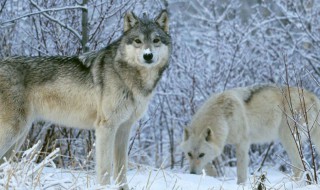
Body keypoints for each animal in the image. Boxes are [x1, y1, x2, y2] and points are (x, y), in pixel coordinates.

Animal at [0, 10, 171, 190]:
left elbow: (121, 169)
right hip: (13, 132)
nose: (148, 55)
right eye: (138, 41)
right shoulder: (105, 128)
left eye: (156, 40)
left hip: (18, 138)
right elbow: (105, 169)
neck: (127, 76)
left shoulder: (124, 128)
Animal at [180, 84, 320, 184]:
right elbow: (209, 165)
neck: (222, 116)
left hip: (287, 138)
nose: (192, 173)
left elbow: (241, 172)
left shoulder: (242, 143)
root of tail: (313, 97)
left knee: (298, 165)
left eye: (201, 155)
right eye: (189, 154)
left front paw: (240, 185)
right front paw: (213, 177)